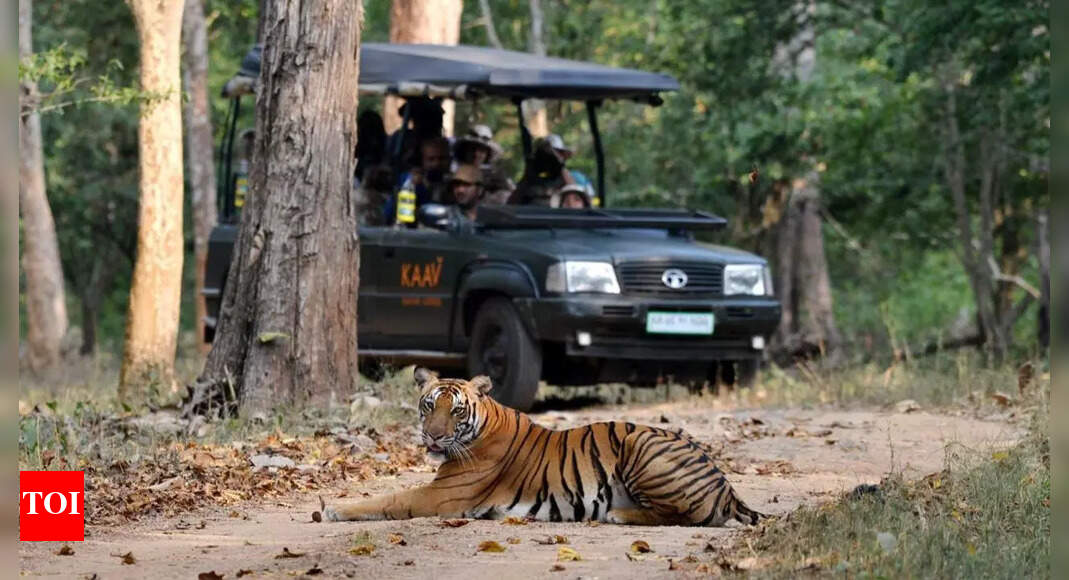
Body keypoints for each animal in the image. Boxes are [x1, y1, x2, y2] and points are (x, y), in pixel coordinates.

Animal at [320, 368, 765, 526]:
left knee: (689, 516)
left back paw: (619, 515)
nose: (432, 436)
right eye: (429, 406)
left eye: (456, 410)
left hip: (642, 443)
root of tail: (727, 487)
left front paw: (334, 509)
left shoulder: (441, 496)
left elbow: (389, 499)